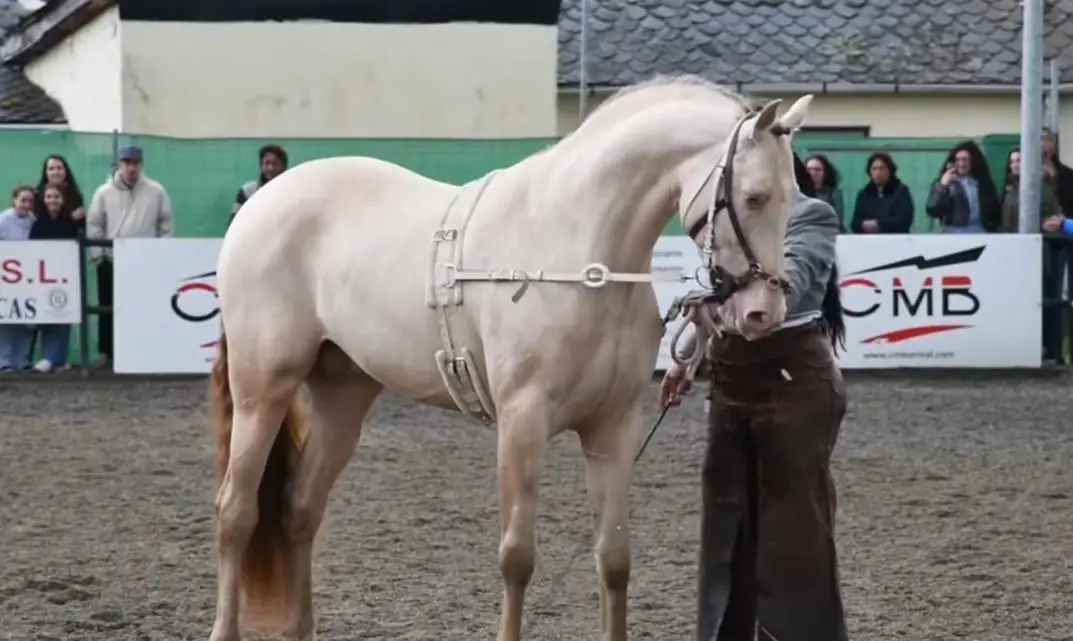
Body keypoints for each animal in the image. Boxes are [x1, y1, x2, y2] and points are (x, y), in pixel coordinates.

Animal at [207, 74, 815, 641]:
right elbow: (517, 558)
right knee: (236, 511)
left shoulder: (614, 427)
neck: (578, 256)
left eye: (792, 197)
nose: (762, 312)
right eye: (755, 197)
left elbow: (615, 559)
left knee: (299, 512)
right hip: (263, 390)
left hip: (343, 397)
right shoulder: (523, 421)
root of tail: (263, 203)